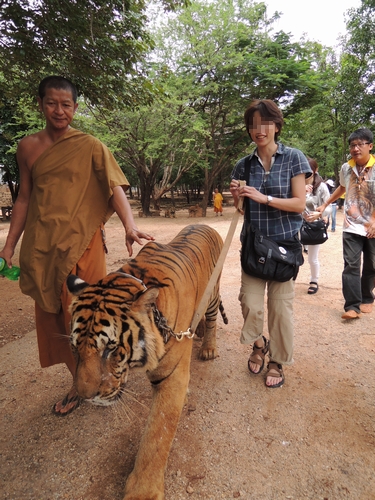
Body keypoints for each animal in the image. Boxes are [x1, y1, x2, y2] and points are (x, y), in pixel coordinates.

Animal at [66, 225, 228, 498]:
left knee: (213, 318)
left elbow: (158, 433)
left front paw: (143, 491)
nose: (86, 396)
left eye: (110, 348)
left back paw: (208, 347)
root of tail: (206, 226)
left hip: (213, 293)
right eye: (76, 346)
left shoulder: (172, 376)